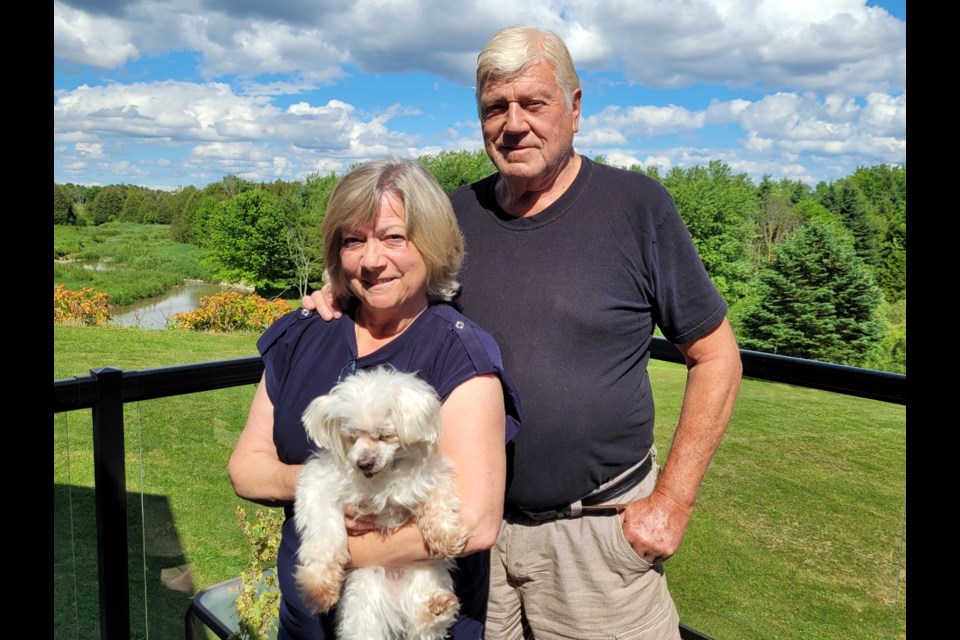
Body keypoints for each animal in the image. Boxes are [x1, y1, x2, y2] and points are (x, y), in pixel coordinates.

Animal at [296, 364, 468, 640]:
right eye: (350, 437)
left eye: (385, 436)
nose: (364, 463)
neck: (382, 476)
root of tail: (395, 609)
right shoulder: (319, 486)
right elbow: (325, 534)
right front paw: (318, 586)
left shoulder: (429, 478)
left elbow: (440, 503)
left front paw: (446, 536)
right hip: (365, 594)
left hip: (426, 572)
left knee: (422, 623)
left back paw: (435, 609)